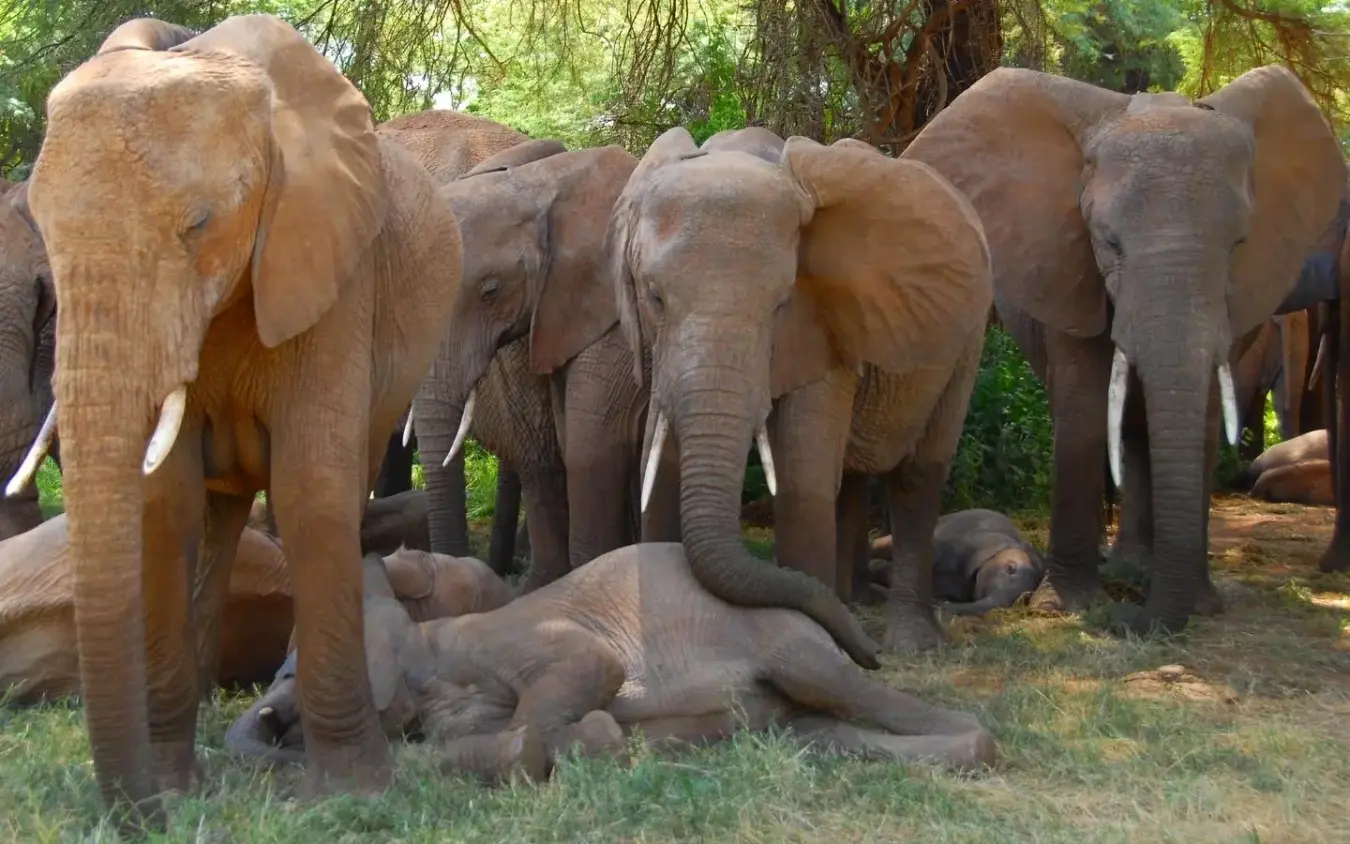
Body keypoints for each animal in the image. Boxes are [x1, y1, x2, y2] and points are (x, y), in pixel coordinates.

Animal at [12, 15, 463, 823]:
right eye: (43, 231)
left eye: (200, 225)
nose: (142, 820)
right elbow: (165, 502)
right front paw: (173, 784)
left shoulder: (331, 267)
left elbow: (312, 489)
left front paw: (349, 792)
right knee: (218, 519)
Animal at [224, 543, 997, 781]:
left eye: (286, 670)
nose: (269, 721)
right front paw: (604, 741)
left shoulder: (513, 637)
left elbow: (587, 667)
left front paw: (596, 736)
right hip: (794, 719)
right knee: (820, 733)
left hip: (789, 645)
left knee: (839, 686)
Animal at [607, 126, 992, 662]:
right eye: (653, 297)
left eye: (782, 303)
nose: (869, 659)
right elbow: (659, 468)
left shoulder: (825, 319)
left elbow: (802, 473)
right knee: (852, 475)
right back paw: (851, 601)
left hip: (966, 341)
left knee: (916, 476)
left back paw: (910, 644)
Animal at [901, 67, 1347, 635]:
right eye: (1109, 243)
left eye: (1238, 246)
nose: (1128, 617)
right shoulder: (1067, 265)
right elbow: (1084, 406)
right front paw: (1066, 607)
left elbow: (1201, 415)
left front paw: (1199, 606)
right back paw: (1124, 567)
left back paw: (1137, 570)